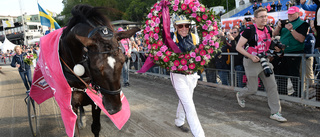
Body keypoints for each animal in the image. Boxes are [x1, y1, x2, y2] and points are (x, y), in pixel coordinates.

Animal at [58, 4, 140, 137]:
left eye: (123, 61)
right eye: (96, 68)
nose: (115, 108)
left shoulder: (95, 103)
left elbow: (96, 128)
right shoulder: (71, 106)